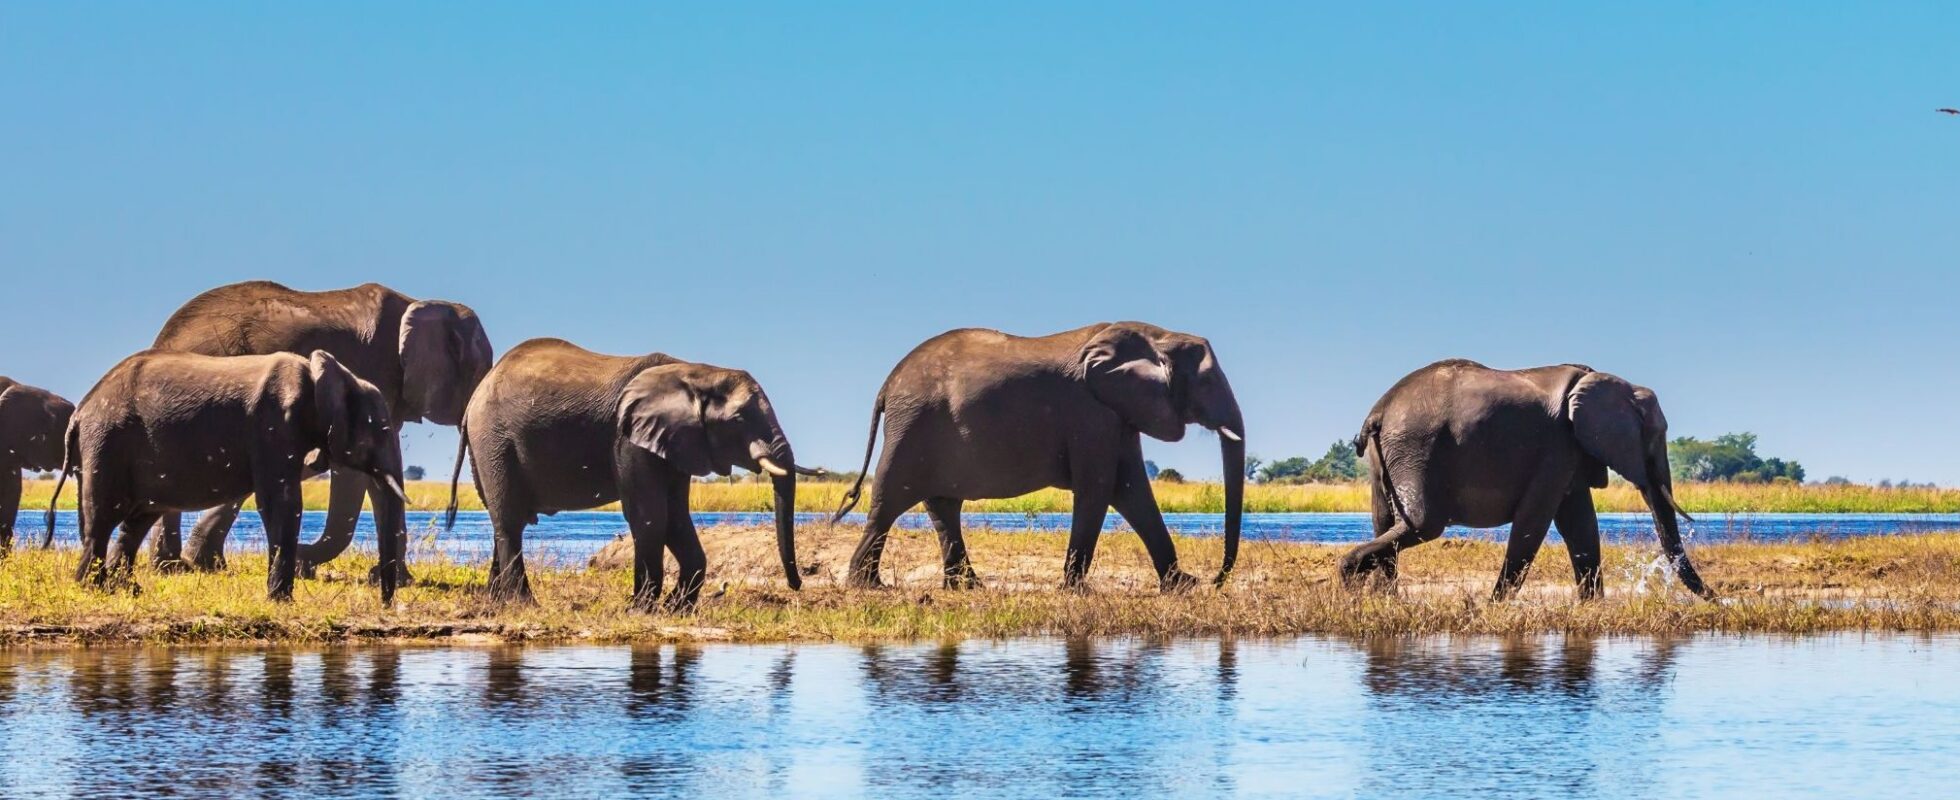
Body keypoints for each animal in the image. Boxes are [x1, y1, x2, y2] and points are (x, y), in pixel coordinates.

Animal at [47, 349, 408, 603]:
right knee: (104, 517)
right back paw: (92, 588)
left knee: (138, 520)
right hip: (107, 443)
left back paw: (125, 590)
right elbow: (281, 501)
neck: (326, 374)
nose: (385, 603)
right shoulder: (273, 426)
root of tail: (79, 414)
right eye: (381, 431)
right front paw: (280, 602)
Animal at [144, 280, 492, 578]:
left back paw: (181, 565)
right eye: (477, 370)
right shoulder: (371, 371)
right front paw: (302, 561)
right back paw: (177, 566)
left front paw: (393, 578)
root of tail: (163, 338)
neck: (418, 303)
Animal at [446, 338, 814, 609]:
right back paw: (525, 606)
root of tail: (474, 397)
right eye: (738, 419)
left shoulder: (677, 442)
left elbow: (675, 516)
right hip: (494, 439)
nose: (797, 584)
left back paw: (496, 605)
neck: (695, 371)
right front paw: (641, 609)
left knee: (507, 520)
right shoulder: (626, 438)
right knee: (510, 521)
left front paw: (675, 609)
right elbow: (649, 515)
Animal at [835, 322, 1246, 591]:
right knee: (890, 499)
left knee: (943, 506)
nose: (1215, 580)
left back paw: (967, 587)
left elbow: (1132, 492)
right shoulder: (1090, 412)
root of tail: (887, 385)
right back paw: (868, 586)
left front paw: (1182, 587)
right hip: (912, 425)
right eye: (1208, 381)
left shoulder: (1117, 413)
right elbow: (1099, 488)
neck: (1158, 335)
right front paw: (1078, 592)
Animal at [1342, 359, 1713, 600]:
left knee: (1385, 521)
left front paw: (1593, 608)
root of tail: (1378, 411)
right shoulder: (1557, 445)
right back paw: (1349, 579)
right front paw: (1492, 608)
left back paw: (1380, 599)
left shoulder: (1569, 450)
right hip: (1417, 445)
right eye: (1656, 435)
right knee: (1423, 523)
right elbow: (1535, 522)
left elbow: (1580, 525)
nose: (1717, 599)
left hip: (1389, 455)